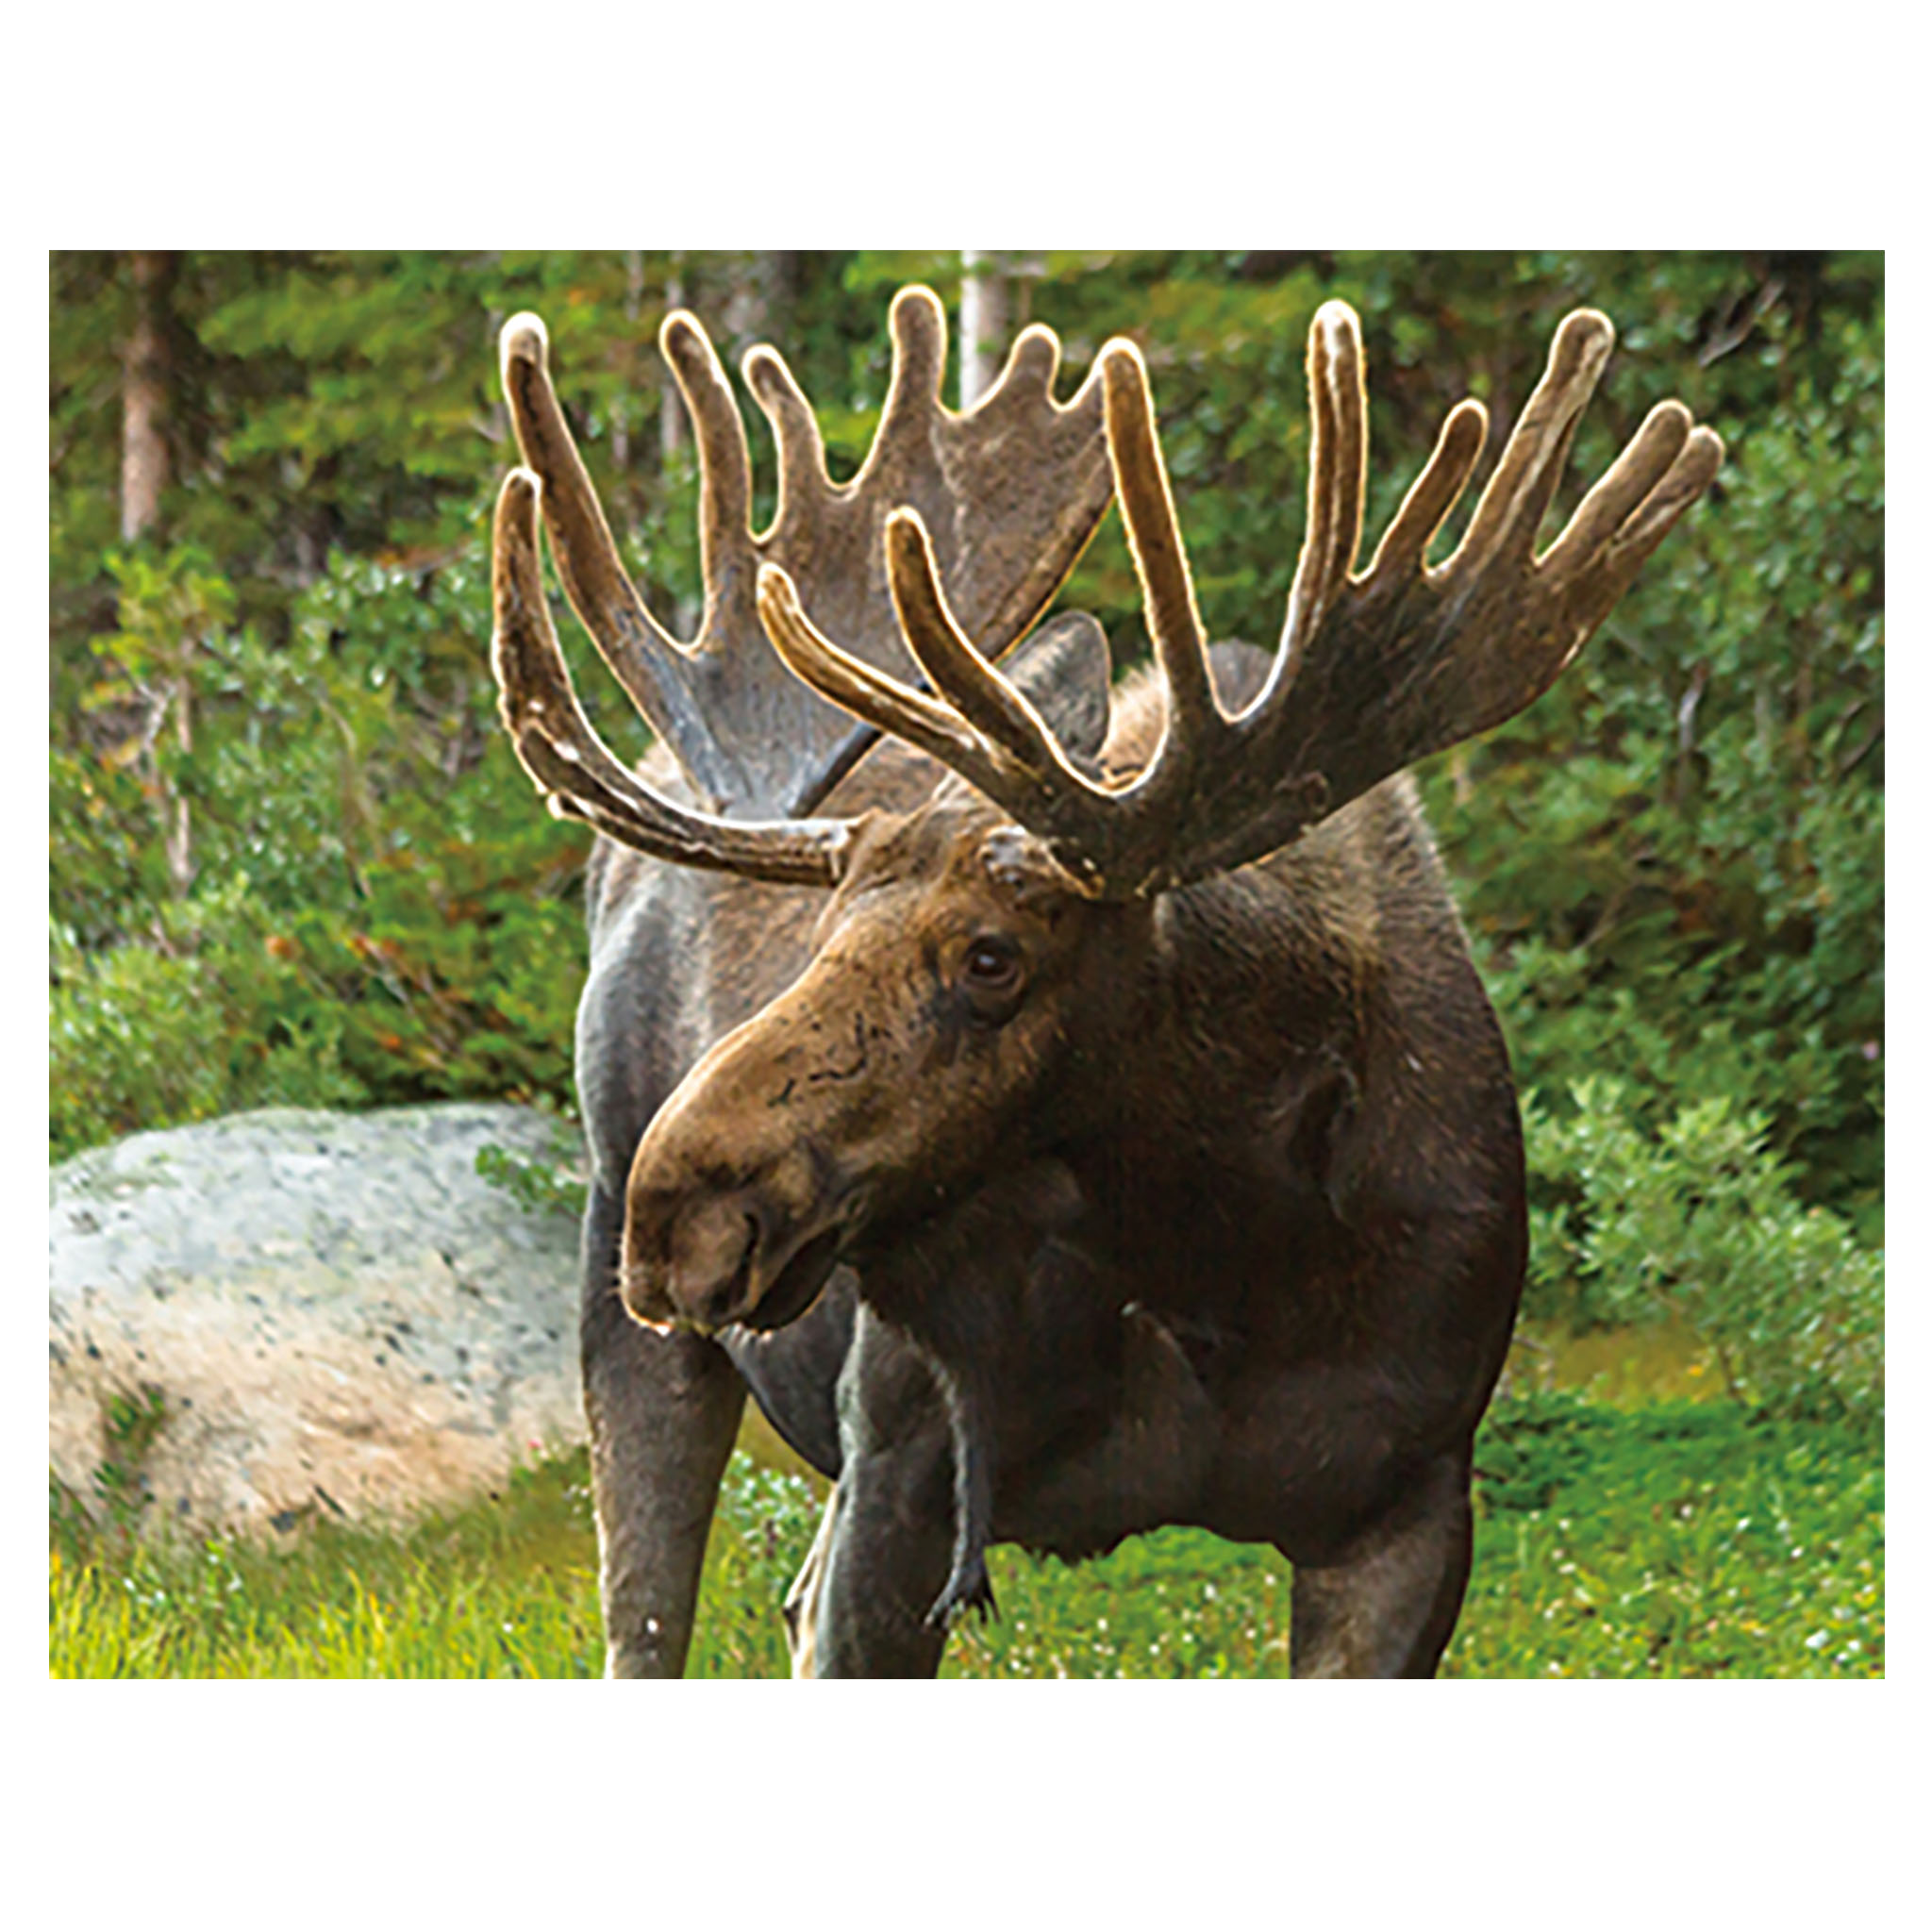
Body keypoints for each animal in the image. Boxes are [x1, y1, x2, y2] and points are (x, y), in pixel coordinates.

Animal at [487, 280, 1721, 1676]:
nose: (681, 1206)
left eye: (992, 957)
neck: (1217, 1252)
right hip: (633, 1323)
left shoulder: (1407, 1509)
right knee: (646, 1626)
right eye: (822, 934)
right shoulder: (898, 1481)